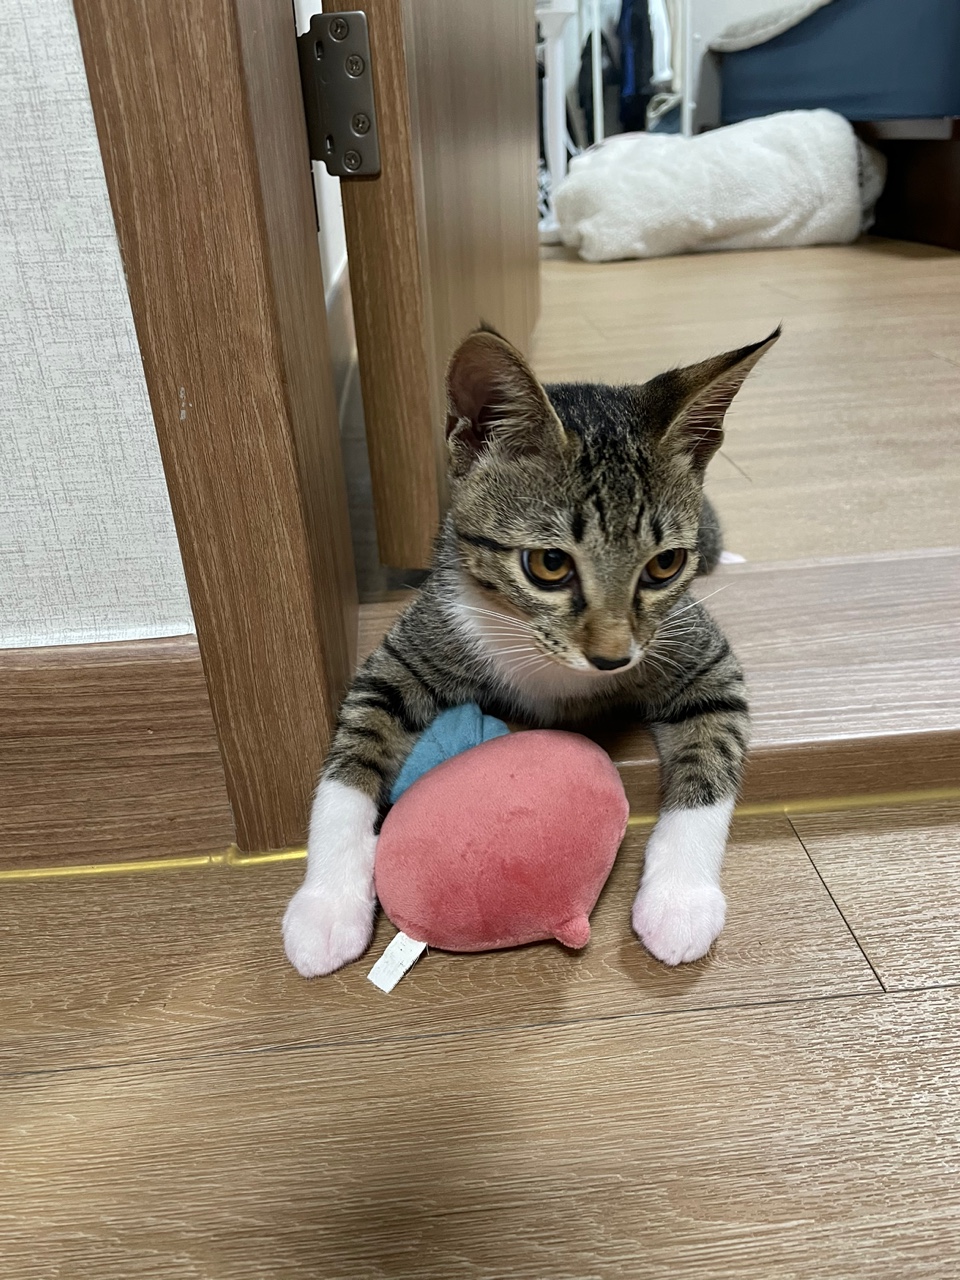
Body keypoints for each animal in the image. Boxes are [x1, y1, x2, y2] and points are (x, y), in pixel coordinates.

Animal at [283, 324, 779, 977]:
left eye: (665, 564)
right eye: (548, 564)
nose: (613, 658)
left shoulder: (700, 655)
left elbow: (713, 754)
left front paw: (680, 901)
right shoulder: (414, 643)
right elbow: (351, 754)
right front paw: (327, 904)